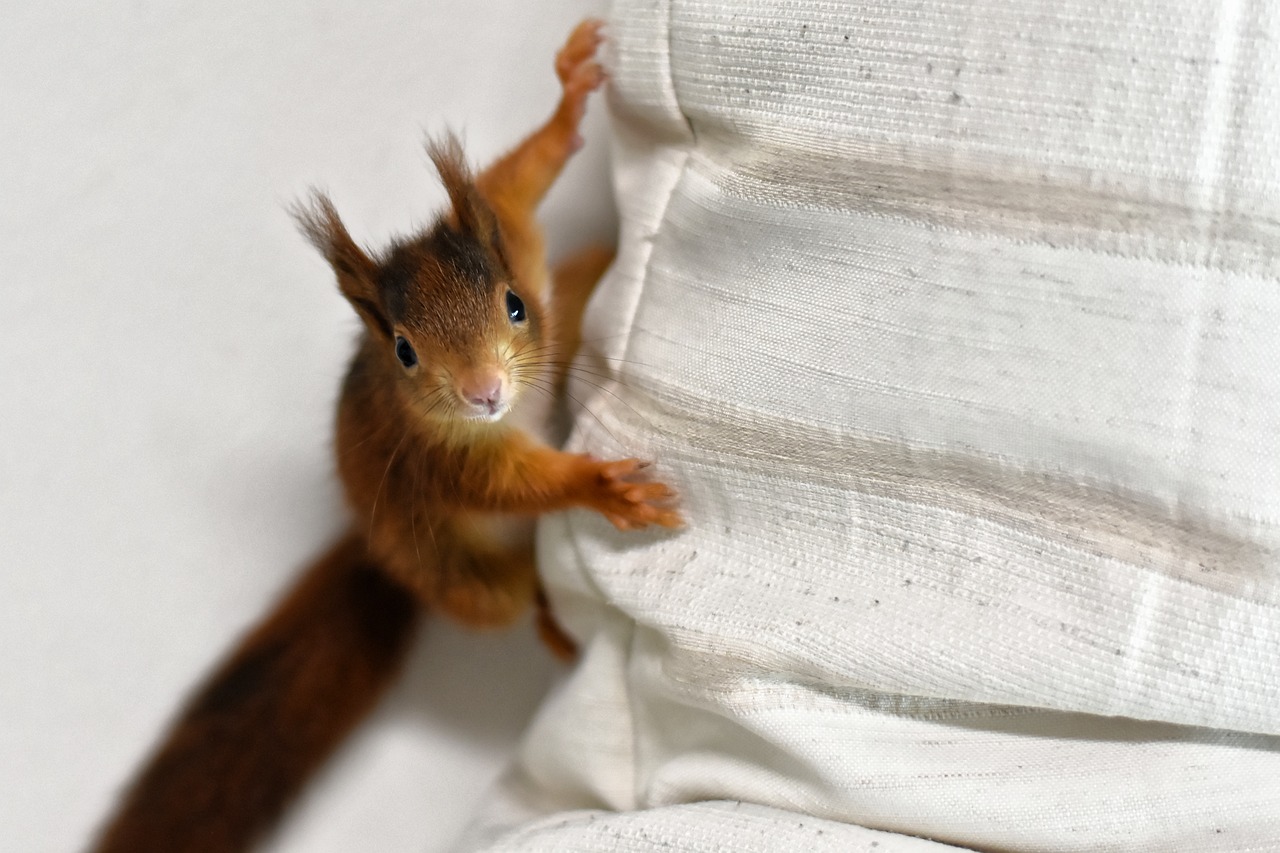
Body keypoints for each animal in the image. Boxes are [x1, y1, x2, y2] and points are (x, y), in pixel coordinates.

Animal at [92, 19, 680, 850]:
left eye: (514, 305)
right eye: (403, 350)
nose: (483, 391)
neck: (504, 415)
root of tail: (370, 540)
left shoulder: (517, 241)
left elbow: (518, 178)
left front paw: (569, 94)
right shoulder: (442, 460)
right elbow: (513, 484)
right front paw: (603, 488)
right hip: (467, 578)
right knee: (521, 595)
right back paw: (557, 630)